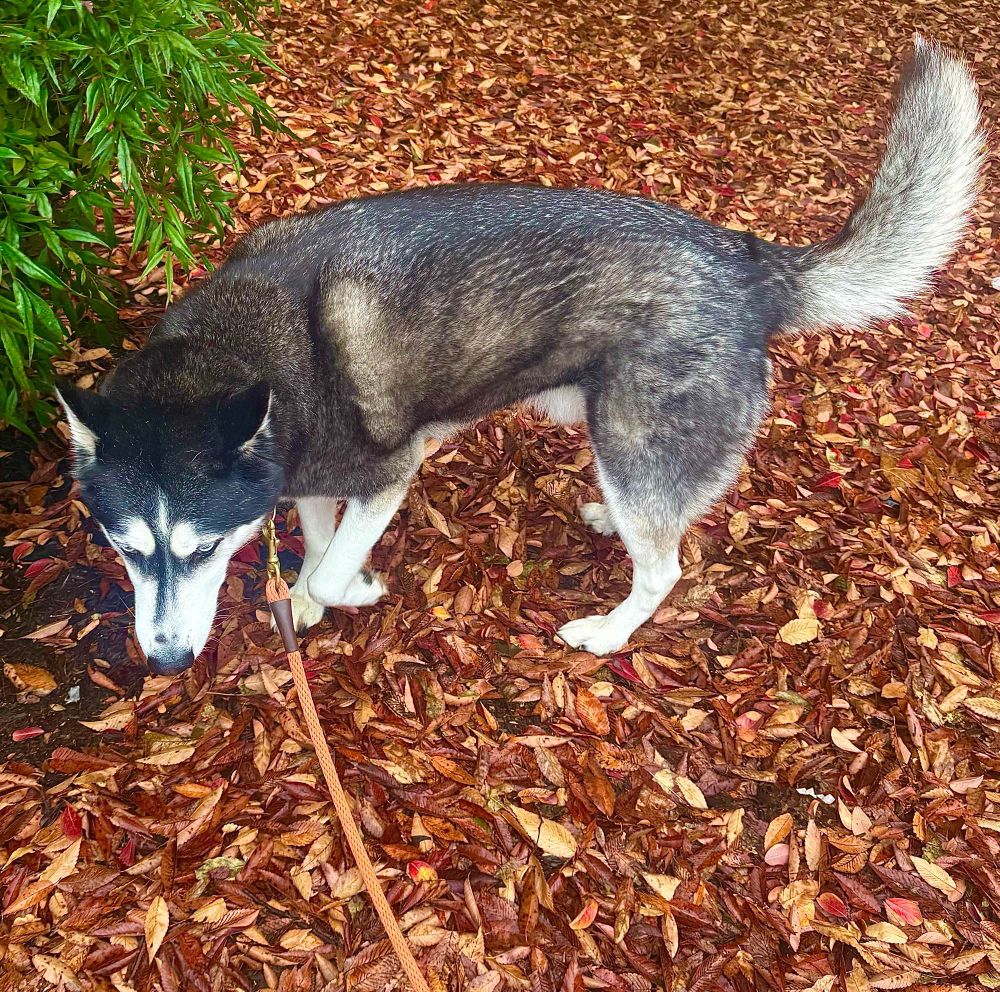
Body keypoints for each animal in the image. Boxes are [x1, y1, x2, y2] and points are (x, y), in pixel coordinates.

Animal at [57, 38, 982, 676]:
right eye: (126, 549)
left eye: (200, 551)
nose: (166, 660)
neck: (254, 348)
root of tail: (747, 260)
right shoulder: (307, 477)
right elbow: (316, 544)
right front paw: (318, 591)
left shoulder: (388, 472)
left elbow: (328, 571)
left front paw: (352, 591)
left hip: (632, 442)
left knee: (664, 569)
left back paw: (608, 631)